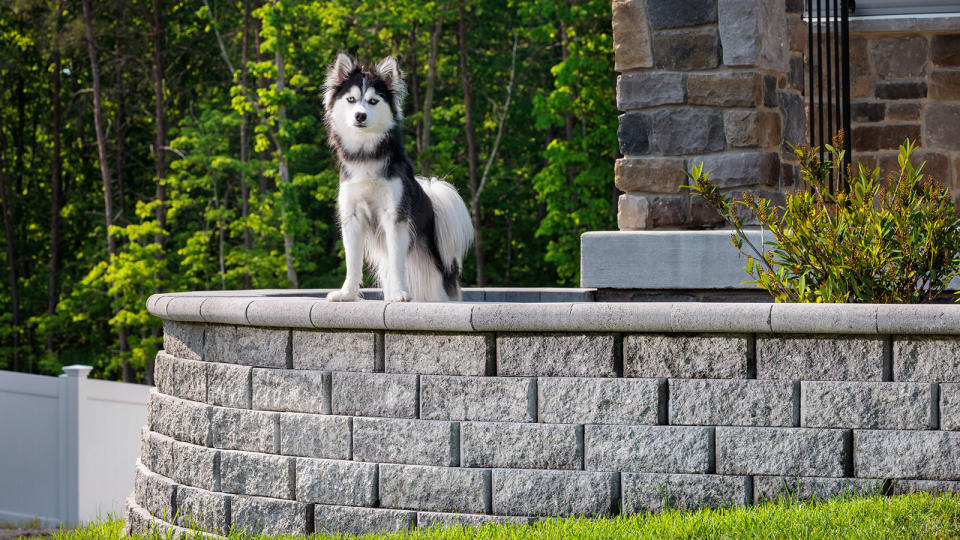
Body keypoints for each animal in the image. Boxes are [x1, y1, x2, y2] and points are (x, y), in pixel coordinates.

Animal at [322, 53, 472, 304]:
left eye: (373, 101)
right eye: (351, 99)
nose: (360, 115)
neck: (366, 155)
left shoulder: (394, 216)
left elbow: (395, 261)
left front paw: (398, 293)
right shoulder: (351, 216)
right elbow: (353, 263)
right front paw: (347, 294)